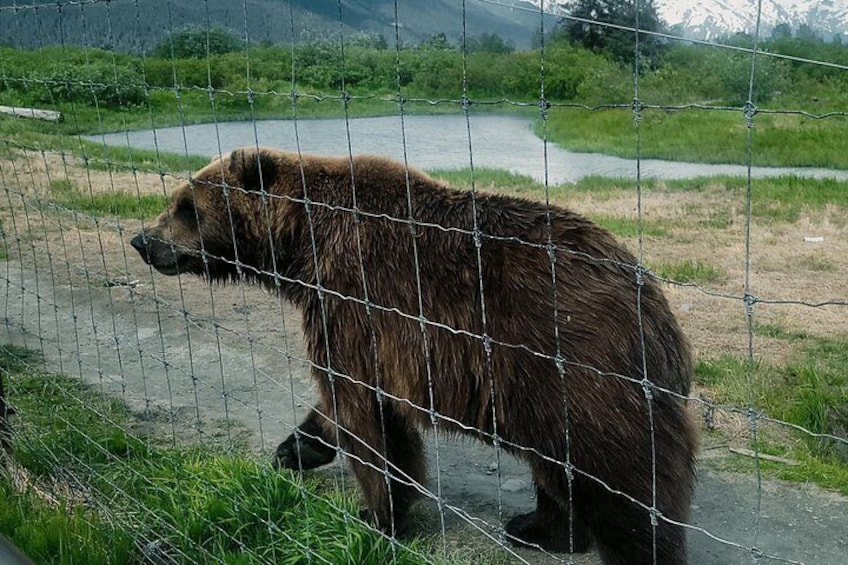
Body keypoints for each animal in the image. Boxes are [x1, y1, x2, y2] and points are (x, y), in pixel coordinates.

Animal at [130, 146, 697, 565]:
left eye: (186, 206)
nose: (142, 240)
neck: (300, 246)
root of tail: (653, 304)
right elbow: (342, 404)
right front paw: (297, 447)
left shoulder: (354, 298)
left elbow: (363, 411)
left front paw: (378, 516)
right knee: (558, 469)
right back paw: (536, 527)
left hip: (572, 367)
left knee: (617, 481)